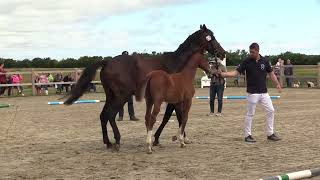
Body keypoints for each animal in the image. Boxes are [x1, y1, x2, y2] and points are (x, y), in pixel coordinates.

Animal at [64, 23, 225, 150]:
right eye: (212, 37)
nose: (223, 53)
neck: (178, 63)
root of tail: (107, 62)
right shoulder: (174, 99)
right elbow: (174, 117)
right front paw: (174, 138)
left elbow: (170, 117)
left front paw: (165, 138)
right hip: (122, 96)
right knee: (110, 115)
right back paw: (117, 141)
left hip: (111, 96)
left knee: (103, 116)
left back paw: (108, 143)